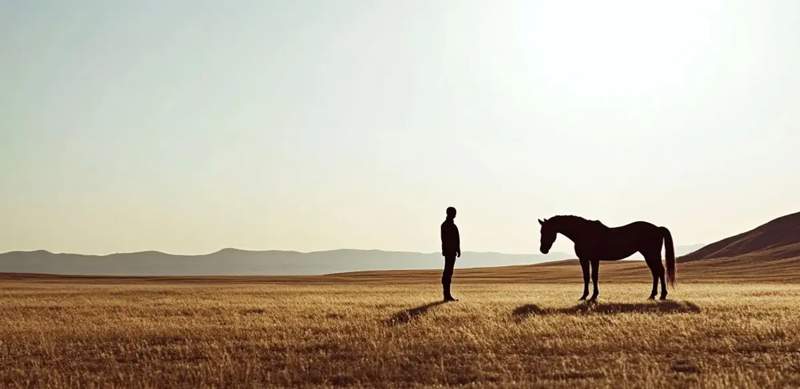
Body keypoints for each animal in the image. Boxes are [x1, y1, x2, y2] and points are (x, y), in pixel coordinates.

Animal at [536, 215, 676, 300]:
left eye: (547, 231)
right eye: (541, 231)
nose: (543, 250)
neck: (583, 232)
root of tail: (658, 228)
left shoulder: (593, 259)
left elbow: (593, 276)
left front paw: (593, 296)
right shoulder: (584, 259)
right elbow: (586, 277)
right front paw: (584, 296)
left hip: (651, 254)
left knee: (659, 271)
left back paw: (662, 295)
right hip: (649, 255)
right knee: (656, 273)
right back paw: (653, 295)